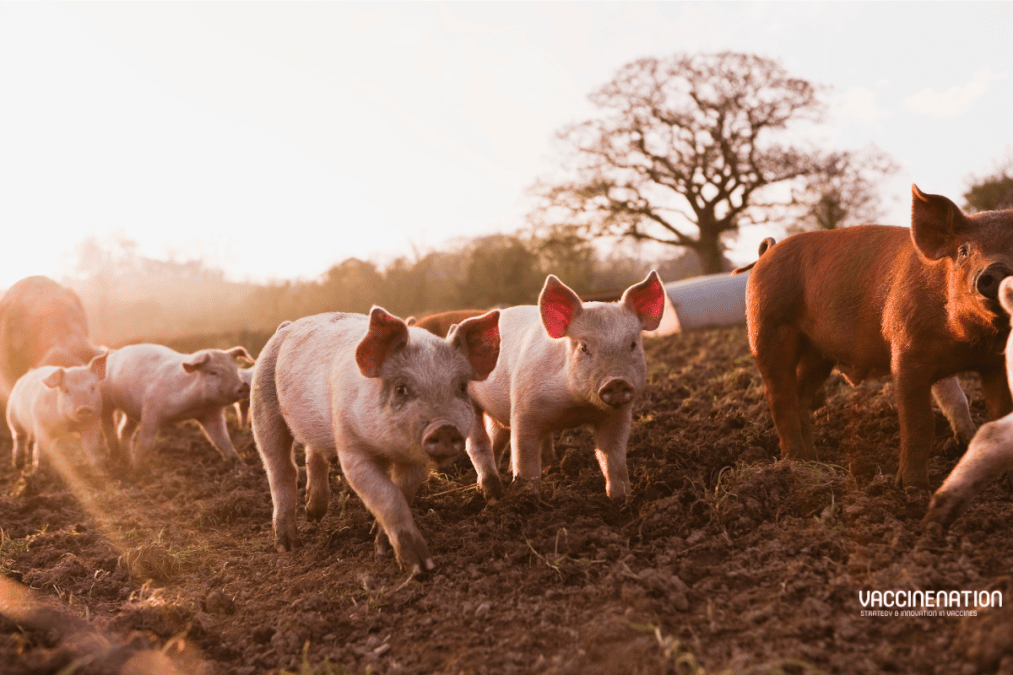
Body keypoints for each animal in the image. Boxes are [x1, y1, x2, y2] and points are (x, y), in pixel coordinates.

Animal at [100, 344, 254, 469]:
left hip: (131, 412)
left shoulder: (211, 414)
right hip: (106, 400)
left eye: (235, 369)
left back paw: (128, 461)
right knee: (108, 424)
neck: (195, 406)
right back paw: (120, 458)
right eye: (213, 372)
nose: (243, 386)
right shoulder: (151, 409)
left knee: (124, 431)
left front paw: (244, 468)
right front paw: (138, 470)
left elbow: (224, 442)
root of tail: (114, 353)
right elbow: (146, 443)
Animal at [251, 306, 500, 573]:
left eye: (462, 388)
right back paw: (286, 545)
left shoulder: (414, 461)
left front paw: (381, 545)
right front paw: (420, 567)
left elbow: (402, 493)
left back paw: (314, 515)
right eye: (401, 388)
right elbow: (387, 496)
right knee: (281, 470)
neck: (388, 449)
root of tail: (286, 326)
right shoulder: (352, 448)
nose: (444, 427)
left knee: (313, 454)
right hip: (263, 408)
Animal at [464, 271, 665, 499]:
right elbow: (526, 460)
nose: (616, 381)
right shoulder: (524, 411)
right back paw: (490, 492)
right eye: (583, 347)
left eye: (632, 344)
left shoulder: (618, 416)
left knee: (496, 441)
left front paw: (621, 498)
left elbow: (613, 458)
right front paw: (527, 496)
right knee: (478, 445)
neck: (577, 408)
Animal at [743, 185, 1013, 489]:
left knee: (801, 393)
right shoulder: (906, 356)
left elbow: (998, 413)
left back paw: (814, 459)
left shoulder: (995, 364)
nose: (996, 269)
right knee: (779, 395)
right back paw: (795, 462)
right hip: (767, 329)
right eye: (964, 251)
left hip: (818, 354)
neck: (967, 343)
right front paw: (912, 488)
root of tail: (767, 252)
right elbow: (919, 423)